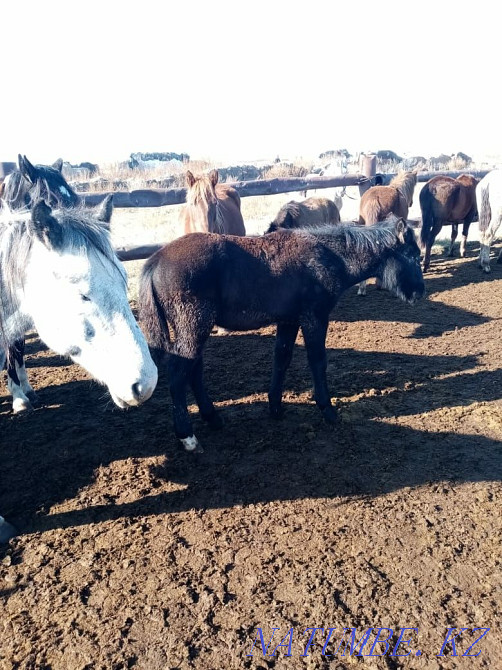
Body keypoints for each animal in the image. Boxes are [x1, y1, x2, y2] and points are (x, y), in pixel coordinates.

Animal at [139, 218, 424, 453]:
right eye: (414, 255)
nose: (419, 293)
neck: (328, 256)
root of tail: (155, 261)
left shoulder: (288, 320)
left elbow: (282, 359)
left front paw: (275, 407)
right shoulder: (314, 317)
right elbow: (317, 361)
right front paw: (327, 410)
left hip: (195, 328)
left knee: (193, 370)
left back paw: (213, 418)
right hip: (193, 326)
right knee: (178, 373)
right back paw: (187, 436)